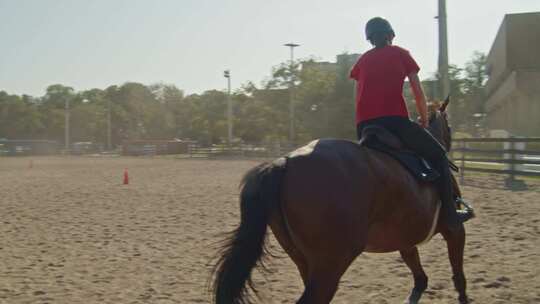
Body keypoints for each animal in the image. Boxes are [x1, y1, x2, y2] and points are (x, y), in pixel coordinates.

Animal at [211, 98, 468, 302]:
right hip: (331, 264)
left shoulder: (405, 238)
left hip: (305, 261)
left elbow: (419, 275)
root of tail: (284, 162)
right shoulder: (455, 231)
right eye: (450, 125)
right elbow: (458, 275)